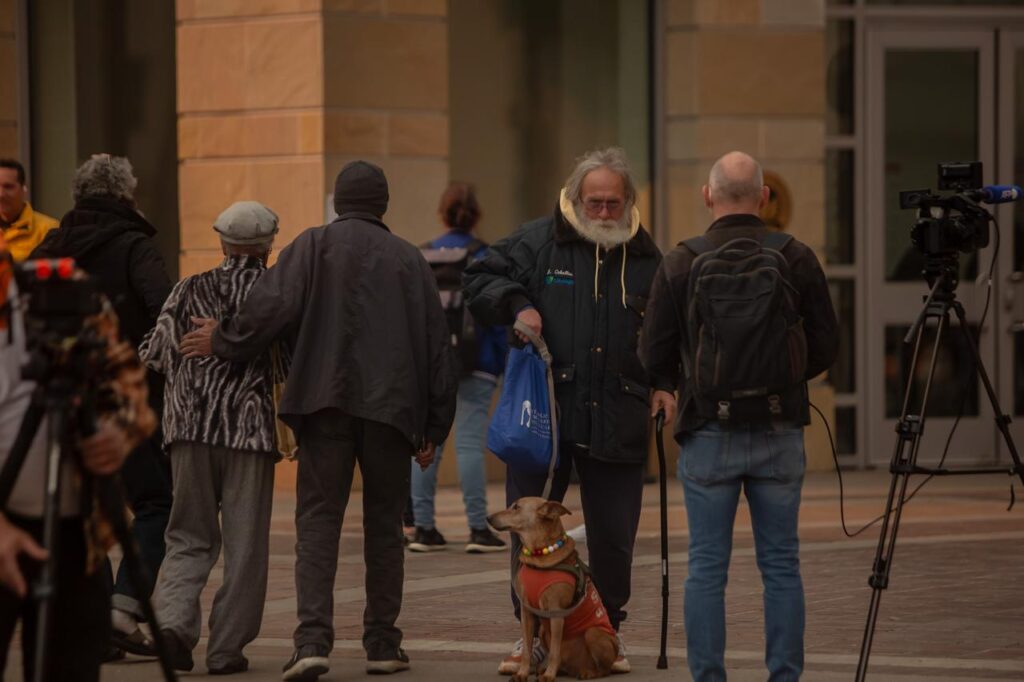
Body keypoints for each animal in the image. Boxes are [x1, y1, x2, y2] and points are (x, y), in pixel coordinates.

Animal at [487, 497, 614, 675]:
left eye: (516, 507)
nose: (488, 518)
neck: (538, 559)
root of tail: (579, 665)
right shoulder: (527, 611)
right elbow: (527, 650)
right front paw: (522, 673)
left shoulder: (556, 612)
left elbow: (554, 651)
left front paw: (549, 675)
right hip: (543, 631)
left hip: (593, 633)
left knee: (603, 668)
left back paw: (586, 673)